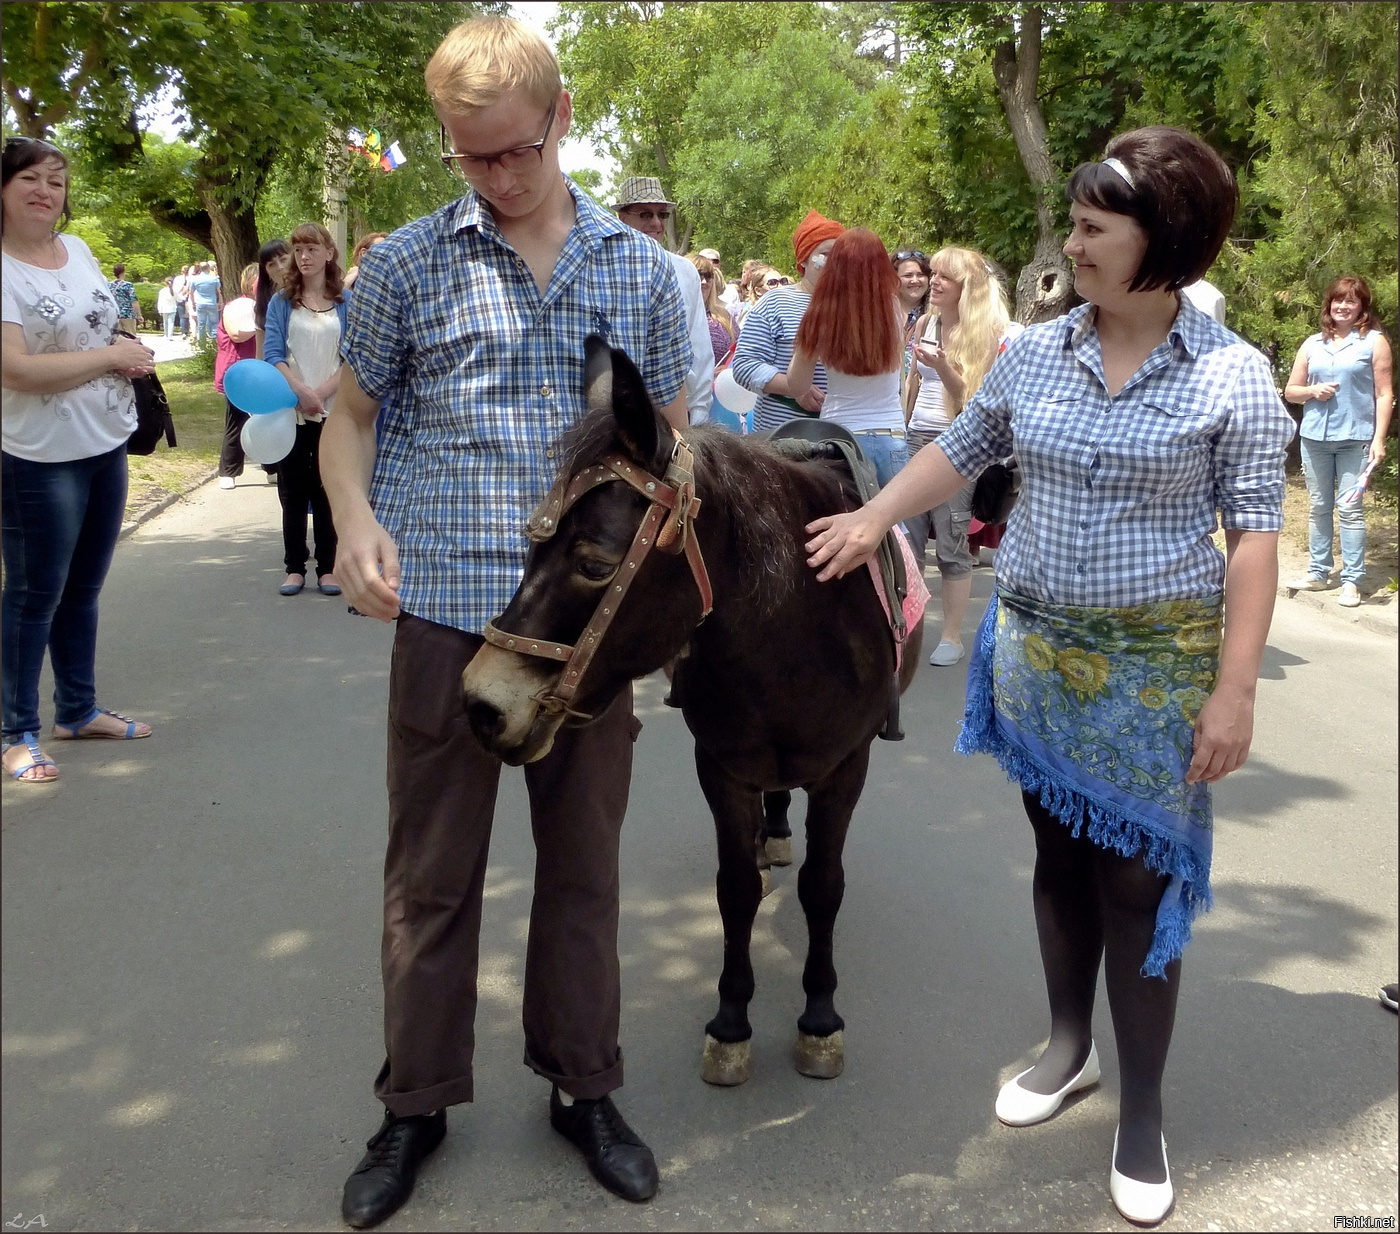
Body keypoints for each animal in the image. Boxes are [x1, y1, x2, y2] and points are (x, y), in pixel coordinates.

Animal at [459, 334, 918, 1075]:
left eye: (595, 564)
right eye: (532, 542)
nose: (480, 703)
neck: (796, 632)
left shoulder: (846, 766)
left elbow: (823, 887)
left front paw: (819, 1017)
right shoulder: (722, 766)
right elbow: (734, 890)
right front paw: (731, 1021)